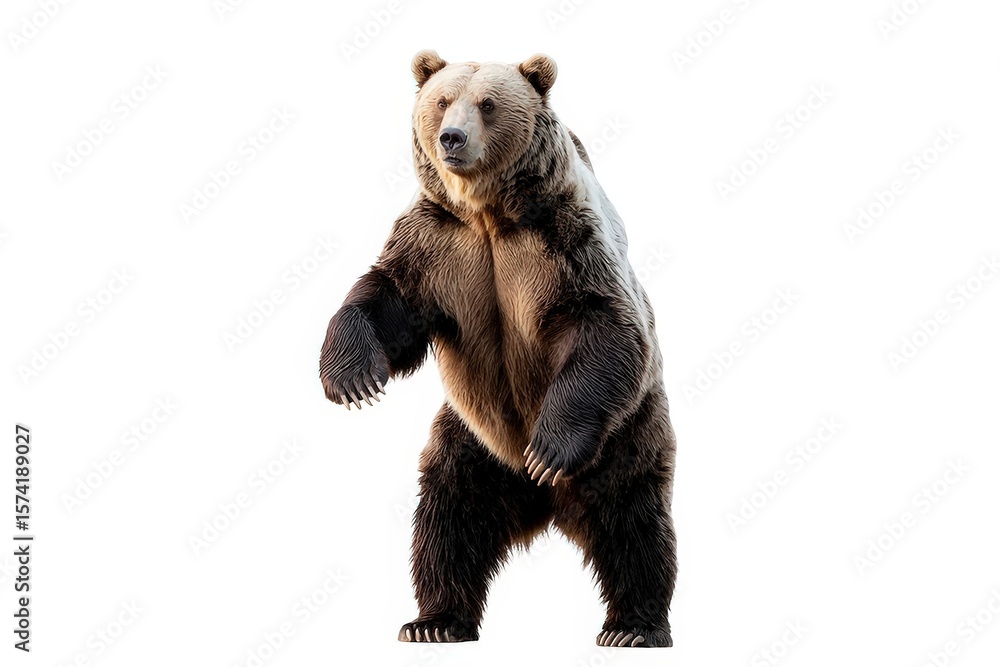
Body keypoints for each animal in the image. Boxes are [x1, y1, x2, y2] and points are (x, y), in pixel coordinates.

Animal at [319, 50, 677, 648]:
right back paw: (434, 620)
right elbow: (388, 298)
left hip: (625, 432)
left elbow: (605, 322)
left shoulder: (564, 240)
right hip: (469, 440)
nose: (452, 137)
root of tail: (545, 503)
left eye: (487, 103)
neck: (487, 212)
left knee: (632, 515)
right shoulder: (438, 244)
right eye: (442, 100)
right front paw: (352, 379)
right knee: (449, 514)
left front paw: (550, 449)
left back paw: (634, 626)